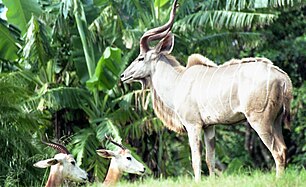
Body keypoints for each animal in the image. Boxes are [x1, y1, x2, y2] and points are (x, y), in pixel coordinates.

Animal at [120, 0, 292, 181]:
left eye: (141, 58)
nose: (123, 75)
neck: (178, 81)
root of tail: (282, 77)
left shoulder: (193, 125)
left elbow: (196, 159)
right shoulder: (210, 126)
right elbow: (210, 159)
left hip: (259, 120)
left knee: (277, 151)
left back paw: (278, 180)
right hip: (276, 120)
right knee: (284, 148)